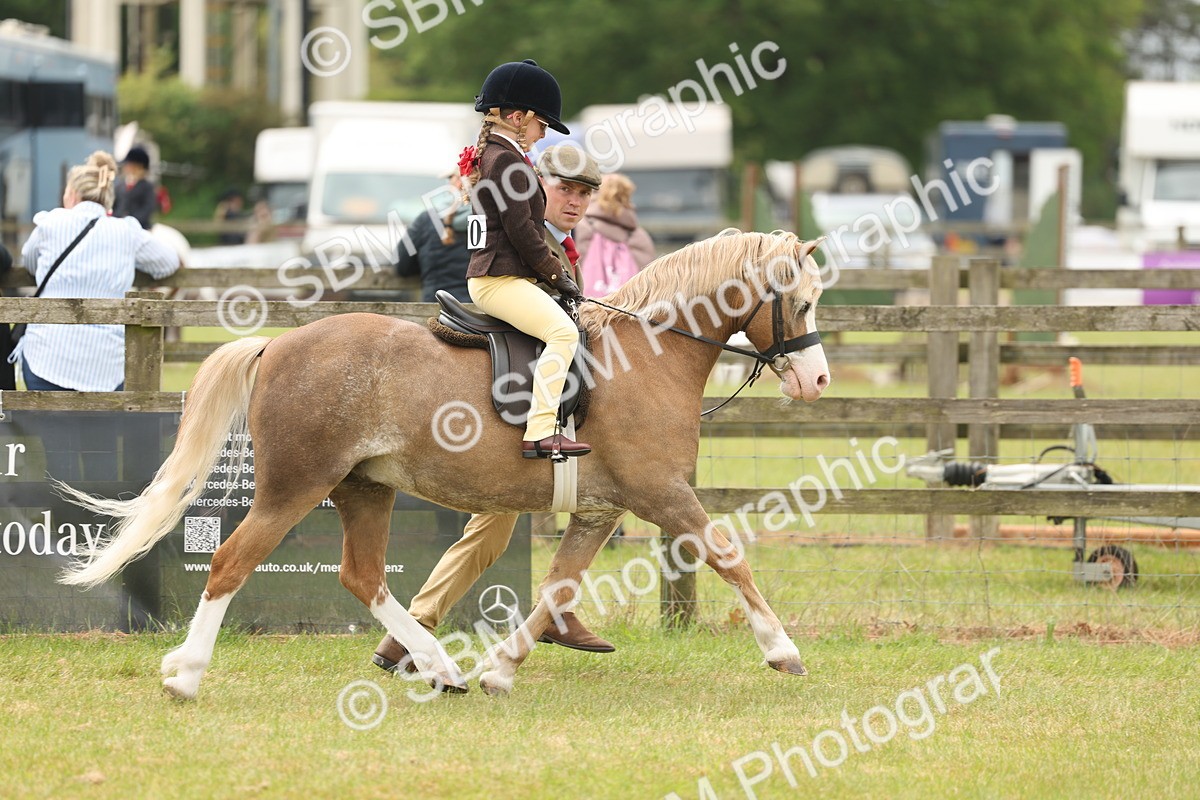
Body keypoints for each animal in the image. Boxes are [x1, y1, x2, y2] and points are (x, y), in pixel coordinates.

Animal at [57, 229, 830, 699]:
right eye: (800, 301)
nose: (818, 382)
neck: (646, 353)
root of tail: (278, 343)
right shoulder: (664, 495)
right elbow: (730, 558)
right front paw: (782, 650)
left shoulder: (599, 510)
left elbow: (557, 588)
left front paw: (501, 671)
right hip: (293, 488)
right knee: (231, 563)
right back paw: (186, 675)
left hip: (363, 490)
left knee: (362, 577)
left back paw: (442, 666)